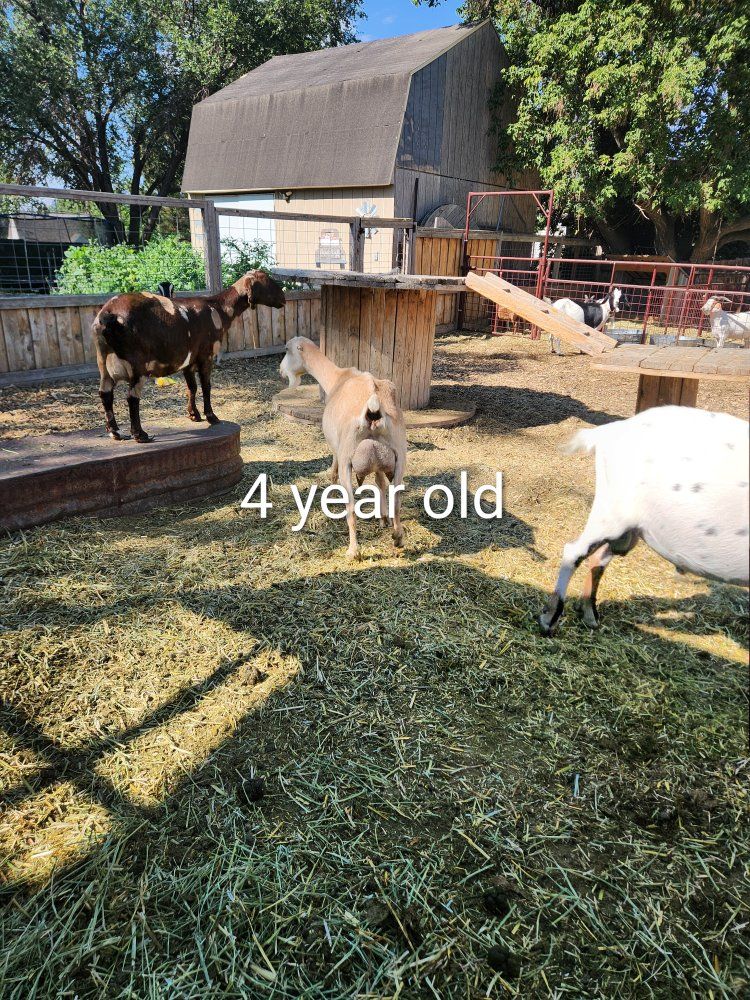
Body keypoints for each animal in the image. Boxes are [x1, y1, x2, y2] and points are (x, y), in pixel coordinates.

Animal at [92, 271, 285, 442]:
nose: (283, 298)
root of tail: (108, 315)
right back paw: (140, 435)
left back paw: (115, 432)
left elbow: (192, 387)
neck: (218, 308)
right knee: (132, 397)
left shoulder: (188, 360)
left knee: (105, 393)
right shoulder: (207, 355)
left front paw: (194, 415)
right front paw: (211, 416)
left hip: (103, 362)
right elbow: (206, 386)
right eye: (267, 281)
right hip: (137, 365)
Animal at [280, 336, 407, 559]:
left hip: (348, 457)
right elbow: (380, 482)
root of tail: (373, 411)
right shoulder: (378, 465)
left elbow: (332, 471)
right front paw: (382, 518)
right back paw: (397, 537)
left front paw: (330, 496)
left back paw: (353, 551)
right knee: (397, 501)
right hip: (399, 455)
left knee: (351, 508)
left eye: (286, 349)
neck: (336, 378)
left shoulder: (335, 448)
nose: (280, 371)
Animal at [539, 405, 749, 635]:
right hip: (612, 513)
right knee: (575, 551)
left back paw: (589, 613)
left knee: (601, 556)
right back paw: (549, 619)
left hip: (627, 529)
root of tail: (608, 432)